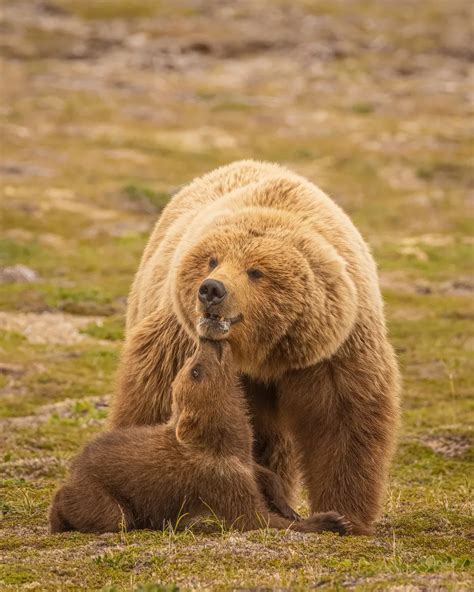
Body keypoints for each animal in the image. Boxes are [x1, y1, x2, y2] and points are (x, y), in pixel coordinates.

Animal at [110, 160, 400, 536]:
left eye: (255, 271)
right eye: (212, 260)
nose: (211, 290)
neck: (261, 352)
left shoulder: (333, 349)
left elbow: (344, 423)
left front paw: (347, 515)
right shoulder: (181, 338)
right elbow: (155, 399)